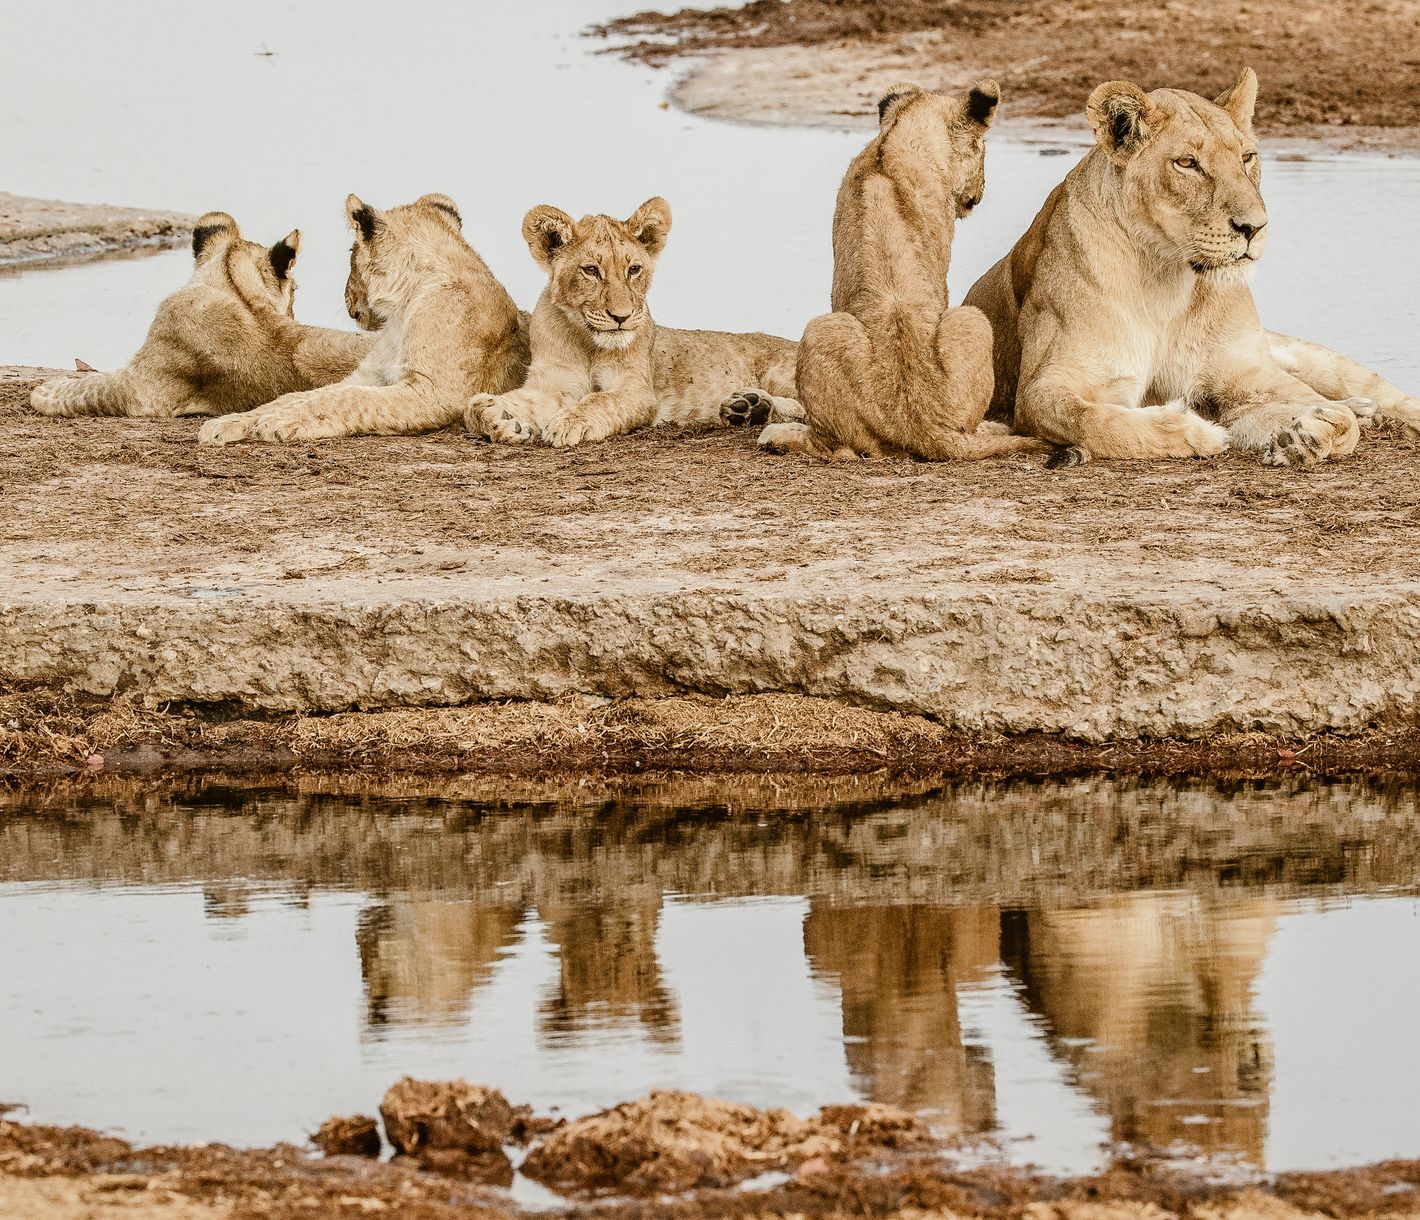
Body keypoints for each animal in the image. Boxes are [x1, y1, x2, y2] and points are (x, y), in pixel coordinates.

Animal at [29, 212, 370, 419]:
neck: (238, 292)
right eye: (296, 291)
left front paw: (46, 391)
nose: (294, 312)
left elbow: (95, 388)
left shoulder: (144, 388)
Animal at [199, 193, 527, 446]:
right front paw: (229, 422)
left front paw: (276, 421)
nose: (345, 297)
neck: (403, 310)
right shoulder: (371, 375)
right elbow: (298, 395)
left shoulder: (434, 393)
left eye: (350, 251)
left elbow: (348, 399)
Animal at [467, 197, 803, 448]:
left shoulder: (638, 391)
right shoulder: (555, 384)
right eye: (591, 270)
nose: (622, 316)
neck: (588, 343)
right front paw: (500, 419)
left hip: (782, 372)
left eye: (634, 270)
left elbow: (600, 400)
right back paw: (747, 407)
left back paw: (750, 410)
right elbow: (474, 407)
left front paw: (569, 423)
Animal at [753, 80, 1051, 462]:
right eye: (984, 149)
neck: (896, 136)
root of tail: (922, 424)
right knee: (836, 446)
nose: (980, 191)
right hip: (961, 317)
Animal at [963, 68, 1418, 467]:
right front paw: (1196, 431)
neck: (1167, 278)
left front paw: (1310, 434)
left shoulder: (1247, 377)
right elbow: (1097, 421)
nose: (1254, 227)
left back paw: (1368, 408)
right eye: (1187, 164)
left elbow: (1332, 420)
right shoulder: (1044, 389)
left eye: (1248, 157)